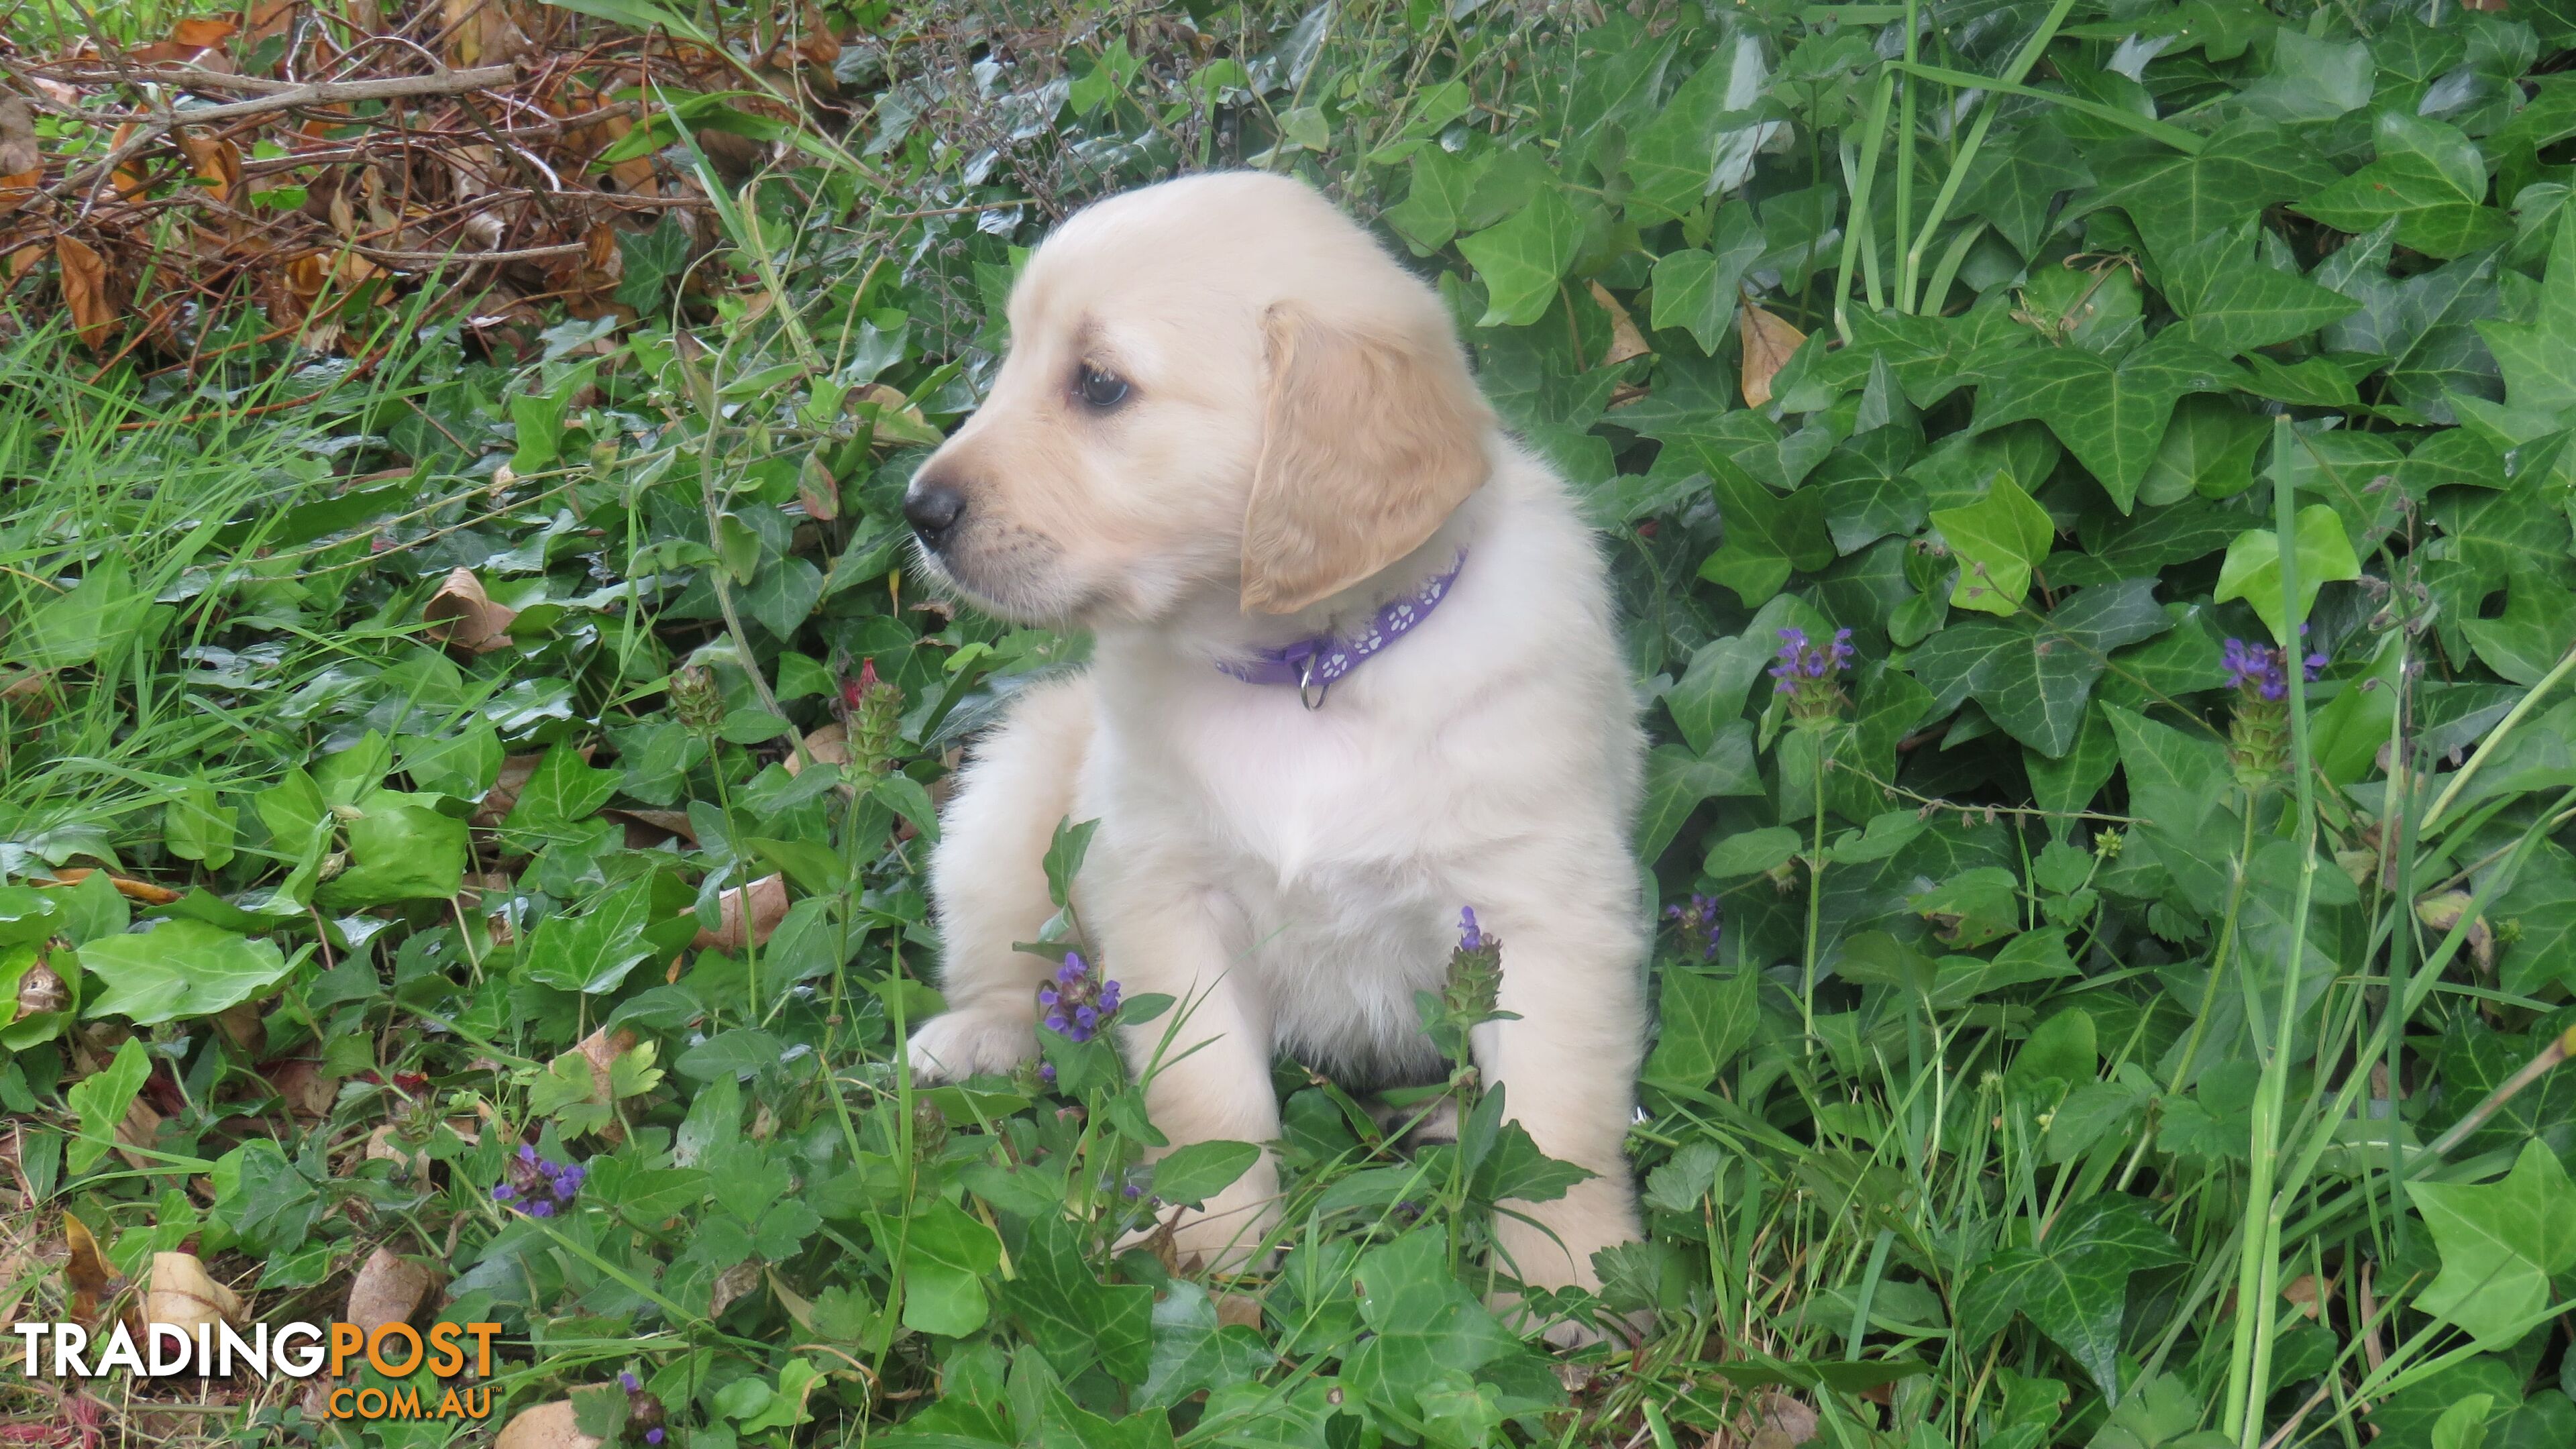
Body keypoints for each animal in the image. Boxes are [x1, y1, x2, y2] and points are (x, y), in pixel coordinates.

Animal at [906, 166, 1648, 1309]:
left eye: (1100, 385)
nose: (919, 509)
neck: (1312, 672)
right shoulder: (1169, 895)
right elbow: (1209, 1101)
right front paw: (1211, 1257)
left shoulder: (1542, 910)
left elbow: (1554, 1124)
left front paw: (1568, 1286)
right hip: (1008, 802)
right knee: (1005, 949)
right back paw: (981, 1035)